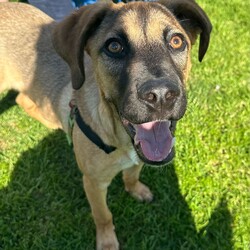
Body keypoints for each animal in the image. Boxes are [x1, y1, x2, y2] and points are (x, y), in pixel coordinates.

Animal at [0, 0, 212, 249]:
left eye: (177, 41)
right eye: (114, 46)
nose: (160, 96)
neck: (119, 138)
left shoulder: (138, 157)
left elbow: (132, 175)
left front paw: (136, 190)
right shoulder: (93, 182)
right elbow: (103, 215)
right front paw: (108, 242)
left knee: (22, 99)